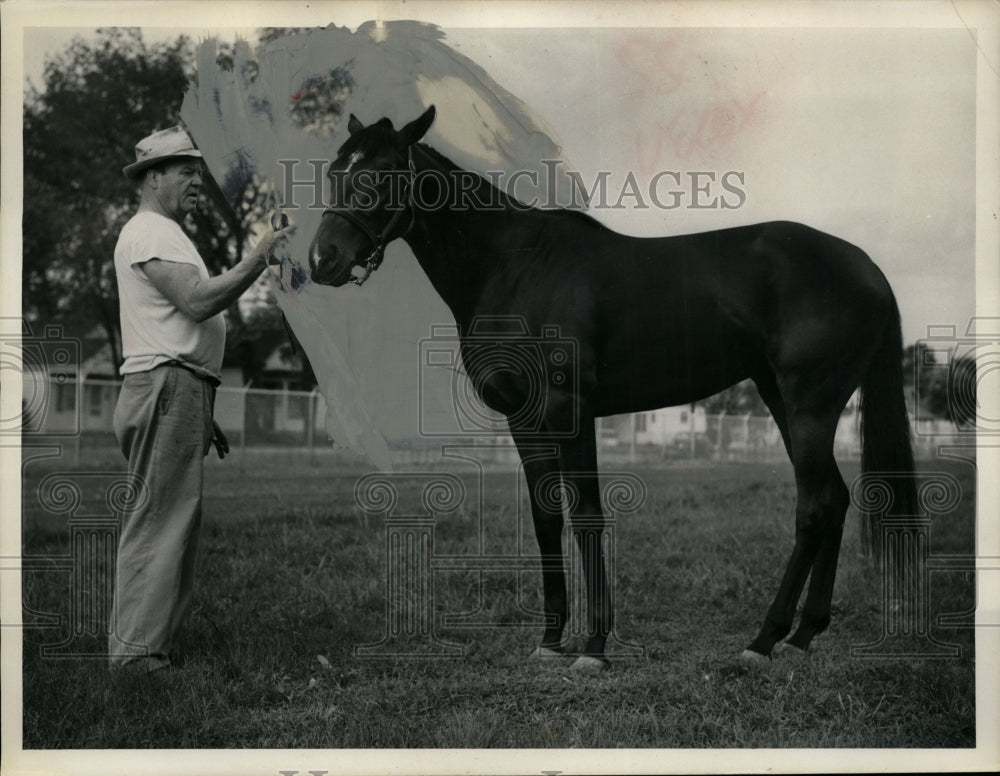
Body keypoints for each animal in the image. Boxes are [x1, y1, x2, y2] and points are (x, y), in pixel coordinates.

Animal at [304, 106, 916, 668]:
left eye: (384, 172)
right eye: (336, 169)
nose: (321, 259)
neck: (515, 266)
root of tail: (867, 267)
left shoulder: (570, 410)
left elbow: (587, 515)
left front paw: (594, 648)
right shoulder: (524, 418)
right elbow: (546, 517)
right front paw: (551, 641)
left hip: (810, 404)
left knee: (814, 505)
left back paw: (763, 641)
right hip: (780, 399)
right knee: (834, 499)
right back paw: (803, 633)